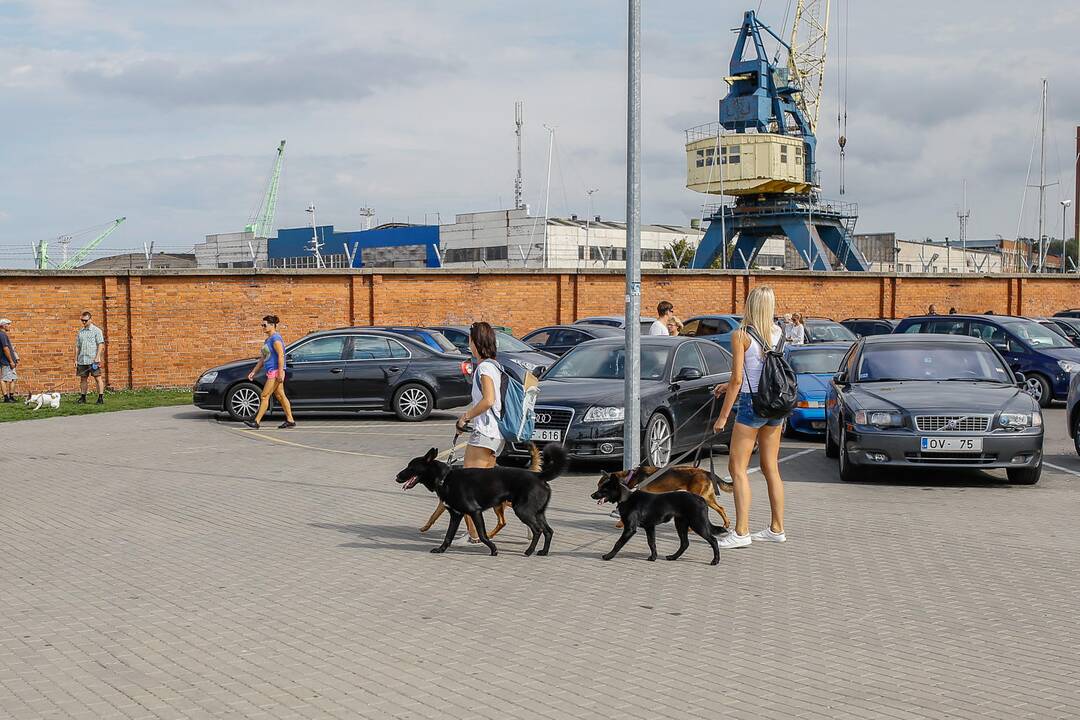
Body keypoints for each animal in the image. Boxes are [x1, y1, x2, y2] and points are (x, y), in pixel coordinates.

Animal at [395, 444, 565, 557]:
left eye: (411, 467)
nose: (396, 477)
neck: (445, 478)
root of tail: (539, 475)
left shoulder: (475, 511)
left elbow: (482, 535)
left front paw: (494, 549)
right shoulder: (456, 515)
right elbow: (448, 536)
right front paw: (441, 549)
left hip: (523, 511)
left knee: (538, 530)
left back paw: (529, 551)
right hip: (538, 513)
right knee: (548, 531)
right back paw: (543, 552)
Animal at [600, 462, 734, 528]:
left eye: (602, 487)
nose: (595, 496)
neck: (631, 477)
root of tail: (706, 472)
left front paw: (621, 524)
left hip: (699, 497)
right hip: (708, 498)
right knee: (721, 508)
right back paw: (726, 524)